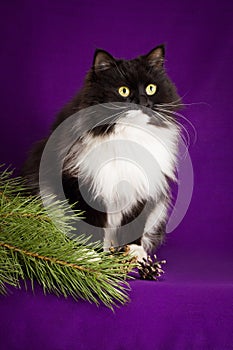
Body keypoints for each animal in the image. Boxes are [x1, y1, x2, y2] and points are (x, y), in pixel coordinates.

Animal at [21, 45, 181, 262]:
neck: (128, 136)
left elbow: (134, 226)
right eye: (123, 91)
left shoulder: (141, 188)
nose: (142, 101)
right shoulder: (80, 184)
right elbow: (89, 224)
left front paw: (133, 252)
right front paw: (90, 256)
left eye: (150, 88)